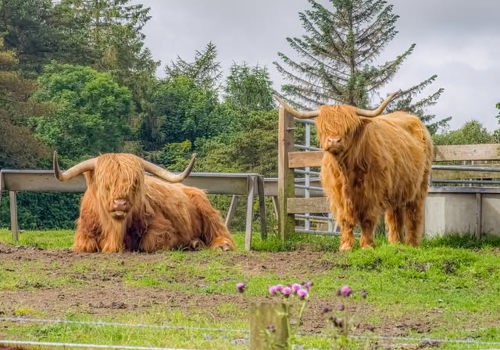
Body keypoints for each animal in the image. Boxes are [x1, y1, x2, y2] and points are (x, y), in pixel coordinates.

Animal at [52, 152, 236, 253]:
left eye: (134, 183)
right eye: (106, 184)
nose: (120, 204)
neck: (115, 229)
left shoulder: (163, 230)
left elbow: (149, 243)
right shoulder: (83, 234)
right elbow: (87, 245)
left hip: (207, 210)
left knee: (219, 231)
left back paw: (220, 246)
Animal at [276, 92, 432, 252]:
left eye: (348, 128)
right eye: (324, 127)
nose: (334, 141)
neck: (346, 170)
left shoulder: (371, 193)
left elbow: (367, 219)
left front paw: (367, 246)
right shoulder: (338, 194)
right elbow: (345, 220)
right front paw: (346, 246)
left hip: (419, 186)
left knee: (413, 215)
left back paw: (412, 245)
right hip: (397, 188)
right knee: (395, 215)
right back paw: (396, 243)